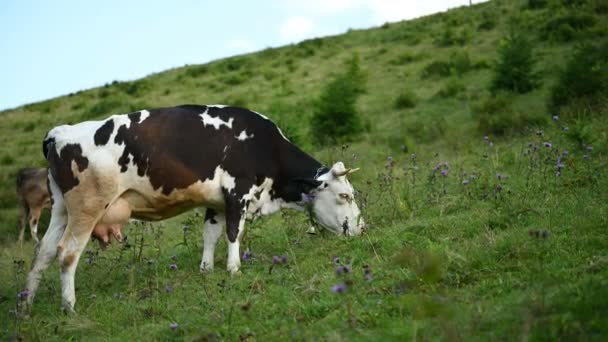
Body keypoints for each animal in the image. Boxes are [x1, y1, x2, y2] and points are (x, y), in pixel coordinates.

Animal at [26, 104, 364, 312]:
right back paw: (69, 306)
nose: (361, 228)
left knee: (43, 252)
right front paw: (234, 269)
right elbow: (233, 233)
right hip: (87, 208)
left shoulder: (216, 201)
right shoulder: (237, 191)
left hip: (61, 210)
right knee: (67, 253)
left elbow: (210, 235)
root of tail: (60, 132)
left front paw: (206, 269)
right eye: (345, 196)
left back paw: (25, 305)